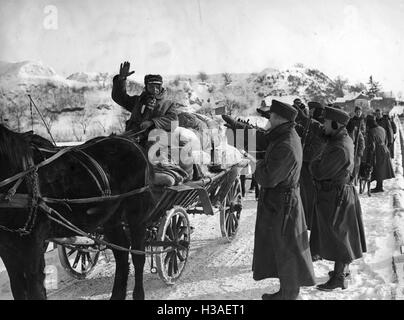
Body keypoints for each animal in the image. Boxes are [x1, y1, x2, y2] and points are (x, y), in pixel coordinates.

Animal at [0, 123, 156, 300]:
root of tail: (130, 140)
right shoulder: (7, 247)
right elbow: (18, 287)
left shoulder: (33, 244)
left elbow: (35, 288)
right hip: (111, 217)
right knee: (122, 254)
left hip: (136, 212)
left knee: (137, 255)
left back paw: (138, 294)